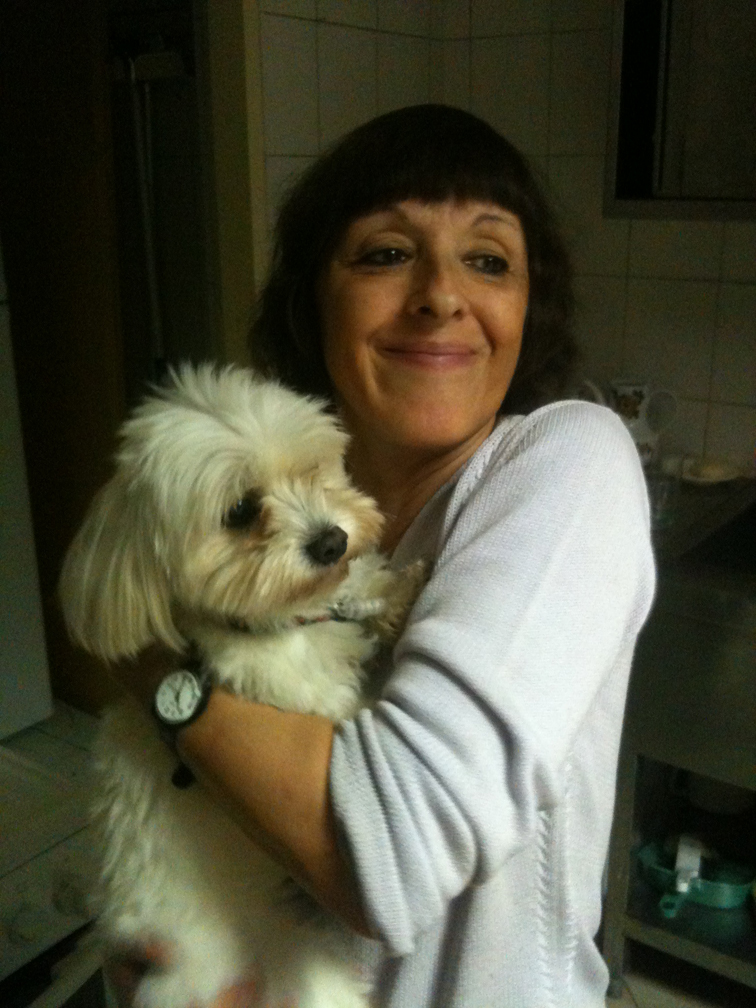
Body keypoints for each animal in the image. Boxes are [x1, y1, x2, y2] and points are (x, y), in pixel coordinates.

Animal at [59, 364, 422, 1008]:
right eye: (239, 511)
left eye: (311, 471)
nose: (330, 541)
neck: (279, 626)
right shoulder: (307, 699)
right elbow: (354, 705)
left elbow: (355, 591)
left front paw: (387, 590)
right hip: (287, 973)